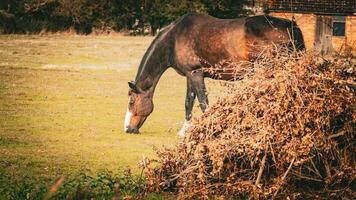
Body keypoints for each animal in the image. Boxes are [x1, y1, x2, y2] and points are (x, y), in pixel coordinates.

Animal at [124, 13, 304, 135]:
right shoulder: (191, 75)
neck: (174, 39)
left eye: (132, 102)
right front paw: (184, 130)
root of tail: (291, 26)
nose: (128, 129)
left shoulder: (195, 73)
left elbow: (203, 103)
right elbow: (189, 102)